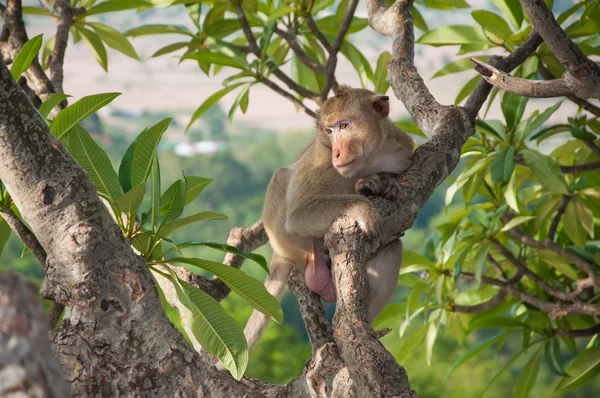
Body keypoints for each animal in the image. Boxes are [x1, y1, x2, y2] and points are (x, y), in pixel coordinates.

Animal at [241, 85, 414, 352]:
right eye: (329, 131)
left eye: (343, 126)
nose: (337, 152)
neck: (368, 159)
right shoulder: (321, 160)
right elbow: (298, 214)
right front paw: (363, 206)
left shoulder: (402, 149)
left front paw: (382, 182)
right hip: (288, 242)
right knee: (282, 177)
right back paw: (316, 264)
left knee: (392, 248)